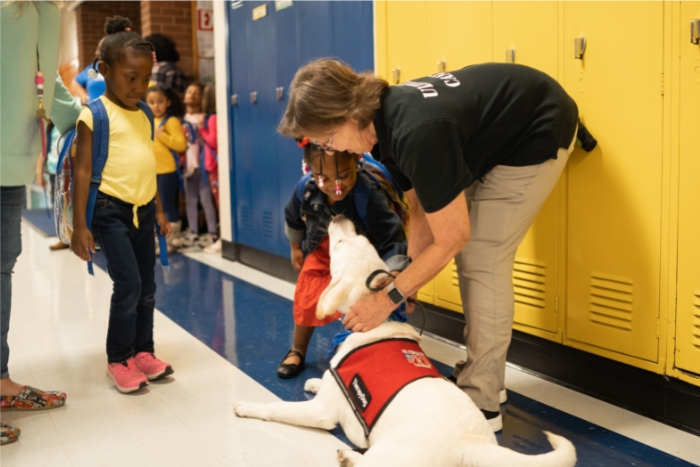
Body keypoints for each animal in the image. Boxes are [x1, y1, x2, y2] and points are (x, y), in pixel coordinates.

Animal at [234, 216, 576, 467]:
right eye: (362, 240)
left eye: (341, 243)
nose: (340, 215)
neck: (378, 320)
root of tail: (473, 443)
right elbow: (326, 383)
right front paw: (316, 381)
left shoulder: (321, 412)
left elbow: (276, 409)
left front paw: (247, 406)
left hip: (388, 454)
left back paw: (348, 456)